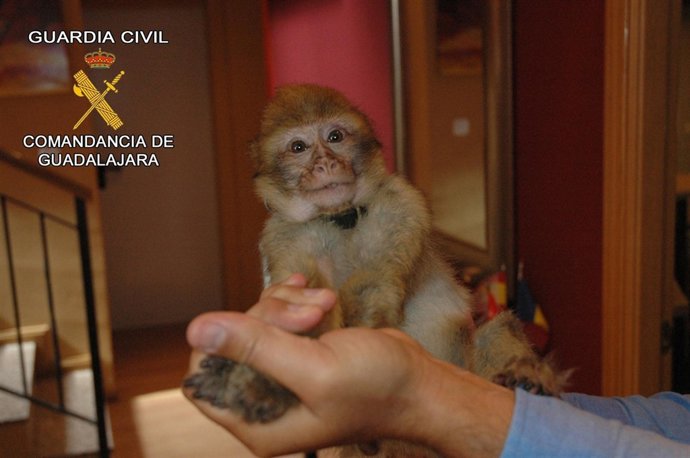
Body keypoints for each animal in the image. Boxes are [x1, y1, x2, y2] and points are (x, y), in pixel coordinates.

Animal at [184, 84, 566, 457]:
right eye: (298, 147)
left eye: (335, 136)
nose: (326, 164)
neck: (341, 219)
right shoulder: (284, 236)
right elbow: (302, 304)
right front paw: (251, 375)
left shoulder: (402, 205)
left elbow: (372, 288)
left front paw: (263, 385)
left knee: (496, 328)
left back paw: (527, 376)